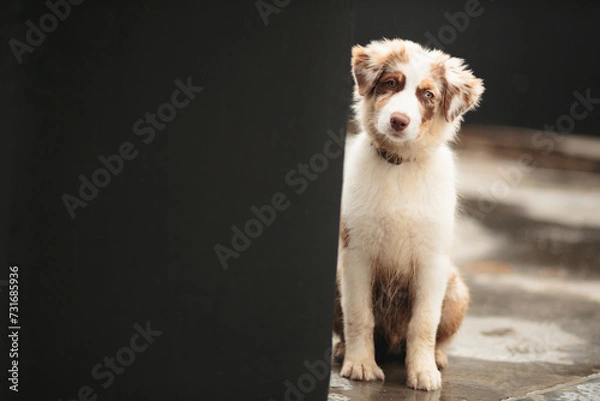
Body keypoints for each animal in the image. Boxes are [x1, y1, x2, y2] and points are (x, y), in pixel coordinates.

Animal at [336, 39, 486, 390]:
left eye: (427, 94)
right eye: (392, 83)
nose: (398, 121)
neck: (400, 164)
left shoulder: (432, 261)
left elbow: (424, 323)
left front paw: (423, 371)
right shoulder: (356, 253)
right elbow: (359, 314)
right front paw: (360, 364)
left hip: (456, 288)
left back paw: (438, 357)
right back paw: (342, 349)